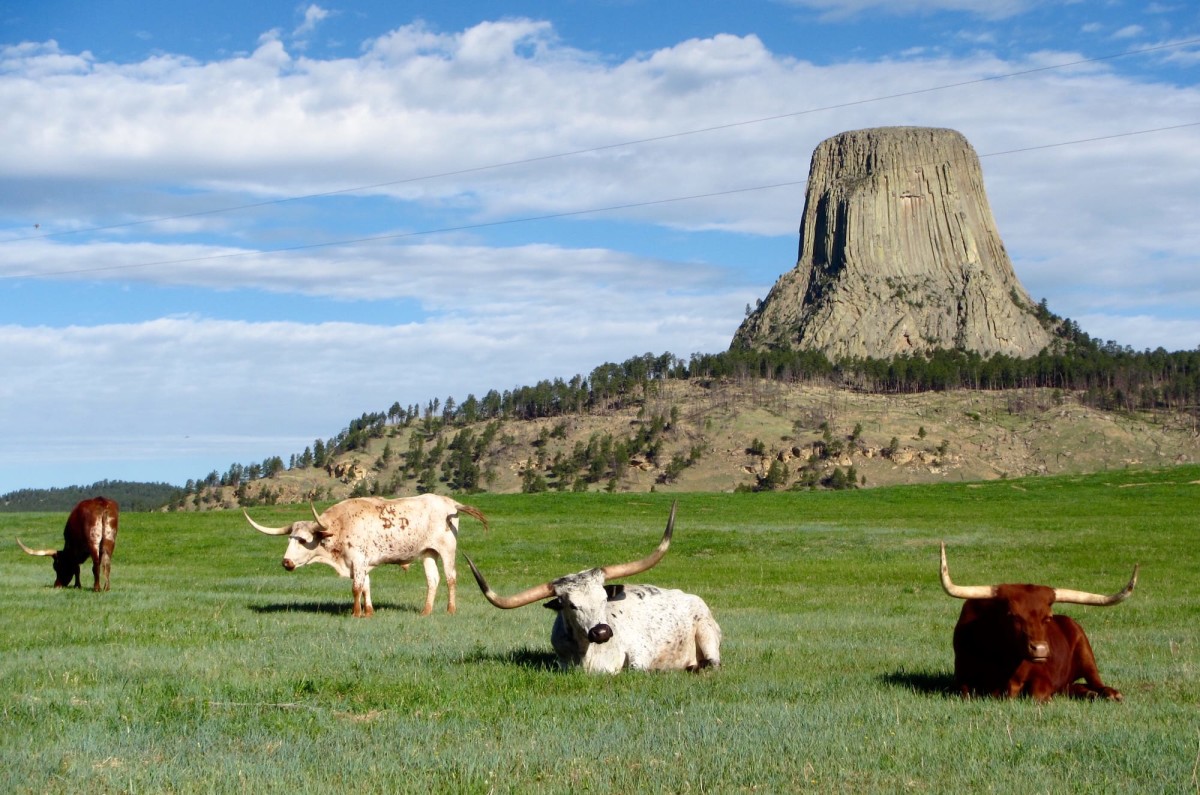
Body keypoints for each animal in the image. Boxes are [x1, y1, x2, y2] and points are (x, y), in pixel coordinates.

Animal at [243, 494, 487, 619]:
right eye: (289, 540)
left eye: (303, 540)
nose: (286, 562)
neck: (340, 526)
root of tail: (450, 502)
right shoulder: (362, 564)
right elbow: (366, 586)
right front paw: (369, 611)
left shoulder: (358, 561)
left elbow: (356, 588)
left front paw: (356, 613)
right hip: (428, 553)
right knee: (433, 580)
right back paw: (425, 611)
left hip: (447, 550)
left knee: (451, 577)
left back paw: (450, 609)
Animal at [463, 501, 715, 677]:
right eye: (572, 605)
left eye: (604, 598)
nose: (601, 632)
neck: (587, 654)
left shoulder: (640, 654)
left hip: (706, 632)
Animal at [936, 542, 1132, 706]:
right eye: (1012, 616)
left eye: (1048, 617)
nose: (1040, 649)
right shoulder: (963, 681)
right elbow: (968, 693)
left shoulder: (1043, 678)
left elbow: (1037, 695)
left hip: (1086, 654)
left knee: (1096, 682)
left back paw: (1110, 694)